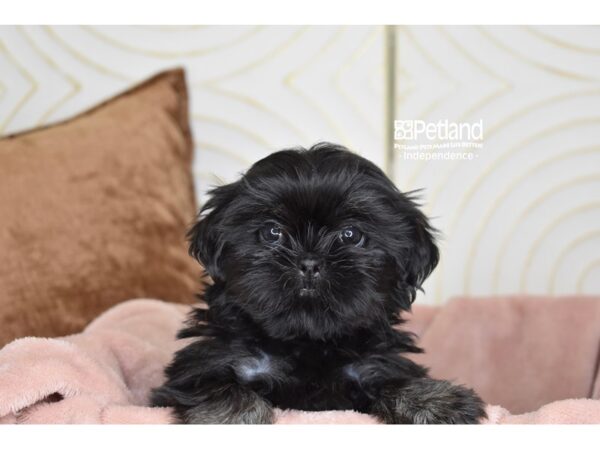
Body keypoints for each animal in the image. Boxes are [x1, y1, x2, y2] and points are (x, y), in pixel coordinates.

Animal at [152, 142, 486, 424]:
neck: (307, 341)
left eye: (351, 235)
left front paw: (436, 401)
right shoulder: (205, 365)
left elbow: (397, 380)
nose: (310, 262)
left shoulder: (373, 366)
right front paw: (233, 418)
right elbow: (222, 387)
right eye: (272, 232)